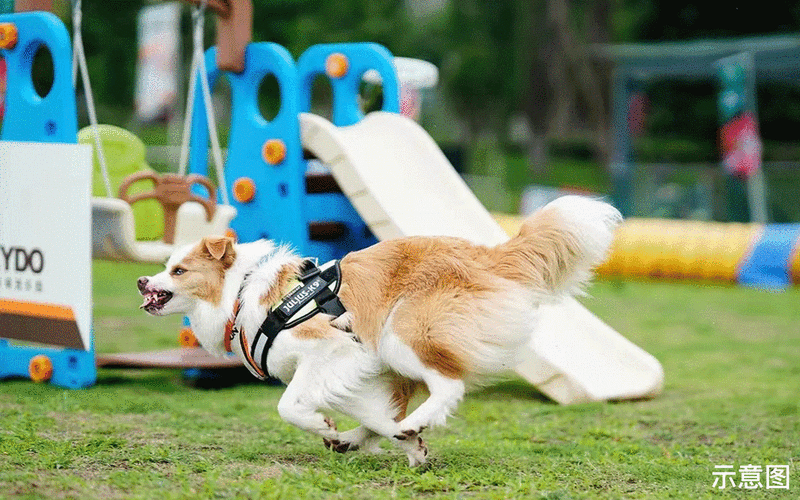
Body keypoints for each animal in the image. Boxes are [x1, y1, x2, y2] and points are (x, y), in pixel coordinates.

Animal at [138, 195, 620, 464]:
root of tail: (488, 254)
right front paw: (399, 446)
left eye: (178, 270)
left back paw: (410, 423)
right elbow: (374, 416)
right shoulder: (352, 369)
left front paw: (326, 426)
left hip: (399, 336)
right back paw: (371, 438)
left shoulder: (336, 349)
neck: (242, 292)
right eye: (164, 266)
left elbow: (288, 406)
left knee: (450, 385)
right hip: (392, 354)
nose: (142, 282)